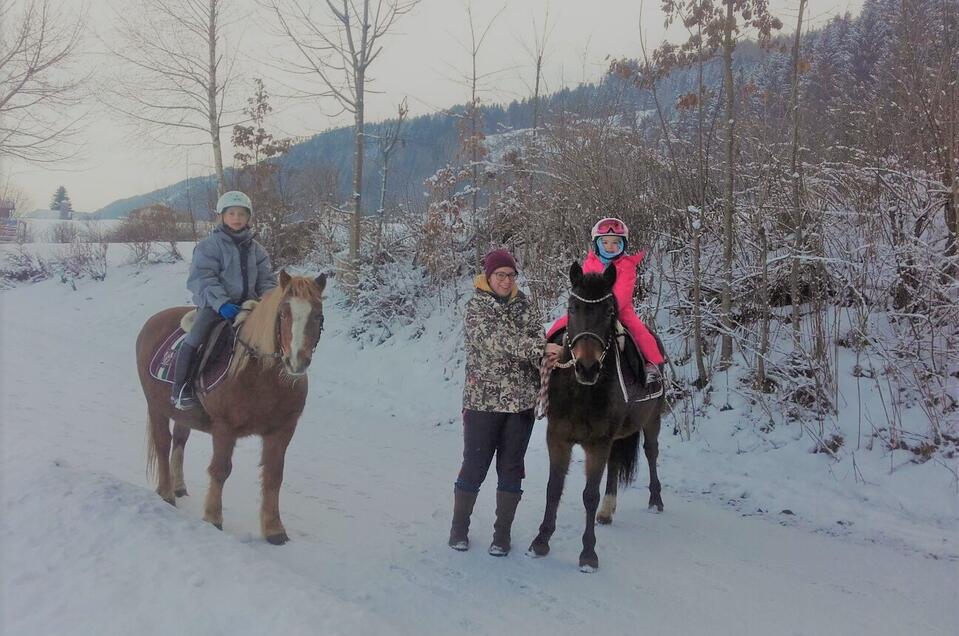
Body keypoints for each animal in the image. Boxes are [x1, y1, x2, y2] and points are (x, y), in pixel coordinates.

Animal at [135, 270, 328, 544]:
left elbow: (274, 476)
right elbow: (220, 470)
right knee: (163, 443)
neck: (261, 374)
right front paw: (213, 518)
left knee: (179, 441)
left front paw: (274, 529)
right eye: (283, 313)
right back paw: (166, 493)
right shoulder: (224, 429)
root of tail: (152, 322)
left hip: (182, 415)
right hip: (156, 406)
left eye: (318, 315)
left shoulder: (282, 431)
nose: (296, 361)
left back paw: (178, 486)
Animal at [528, 264, 664, 572]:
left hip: (652, 419)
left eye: (610, 311)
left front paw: (588, 554)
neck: (582, 391)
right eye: (572, 306)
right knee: (614, 466)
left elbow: (589, 495)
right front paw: (541, 540)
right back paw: (607, 510)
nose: (587, 367)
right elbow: (553, 488)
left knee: (651, 452)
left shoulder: (597, 443)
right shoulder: (558, 437)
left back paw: (655, 500)